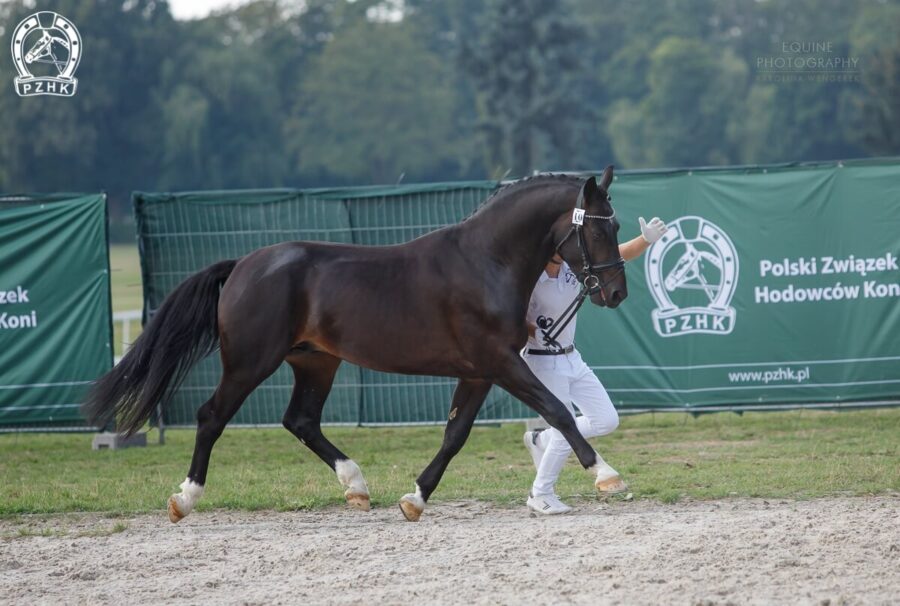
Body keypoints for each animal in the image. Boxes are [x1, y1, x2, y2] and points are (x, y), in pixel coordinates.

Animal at [84, 165, 624, 524]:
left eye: (617, 226)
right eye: (601, 228)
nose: (616, 293)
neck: (485, 262)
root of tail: (241, 266)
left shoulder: (477, 371)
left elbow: (455, 435)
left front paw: (415, 499)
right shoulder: (500, 362)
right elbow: (556, 410)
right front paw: (605, 473)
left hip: (316, 362)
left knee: (300, 420)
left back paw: (356, 486)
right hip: (249, 363)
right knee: (211, 417)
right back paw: (186, 497)